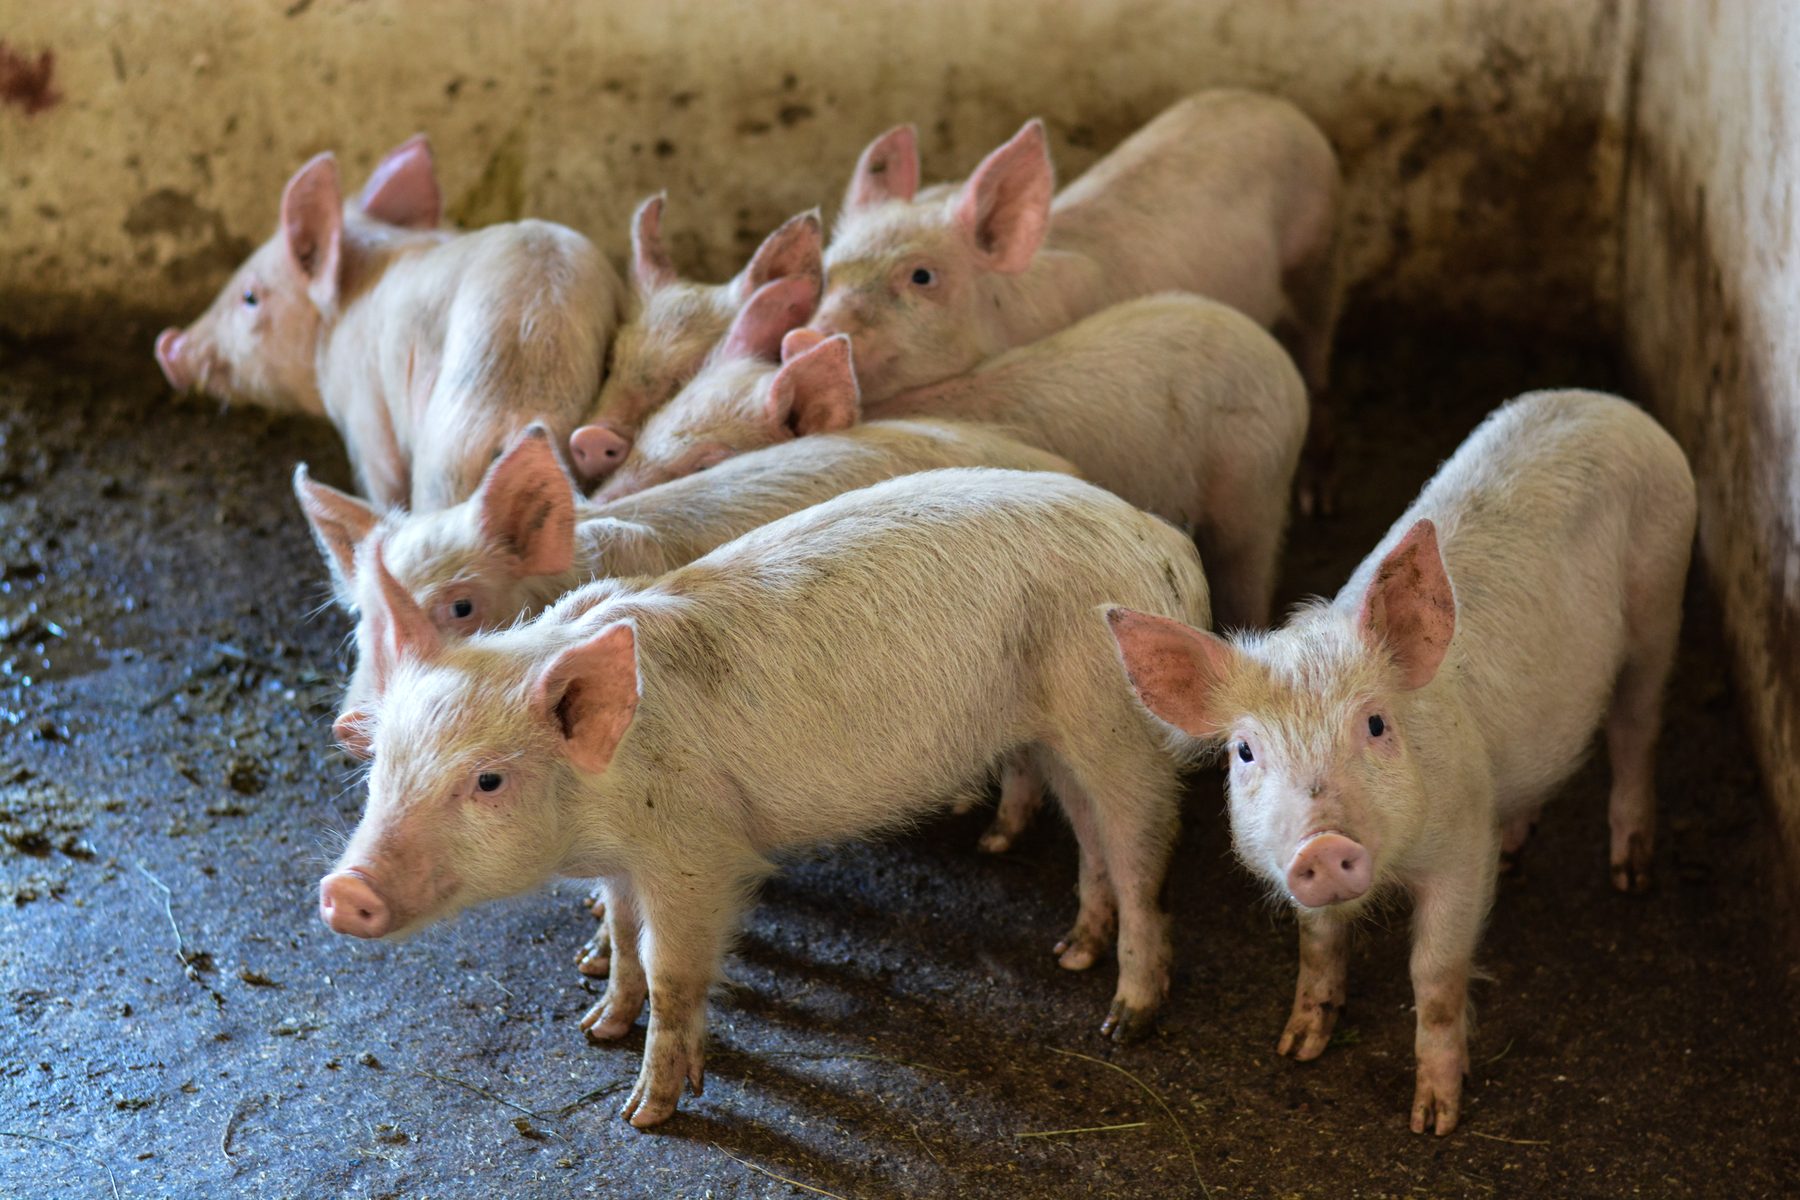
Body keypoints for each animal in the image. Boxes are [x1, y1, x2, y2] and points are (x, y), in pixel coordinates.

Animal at [319, 468, 1211, 1127]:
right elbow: (625, 934)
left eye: (488, 780)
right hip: (1061, 734)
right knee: (1091, 833)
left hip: (1120, 724)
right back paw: (1072, 951)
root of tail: (1162, 540)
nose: (342, 890)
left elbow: (672, 970)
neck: (612, 801)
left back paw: (1123, 1020)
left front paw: (645, 1114)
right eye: (384, 766)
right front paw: (597, 1027)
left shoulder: (696, 852)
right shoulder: (626, 859)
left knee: (1144, 859)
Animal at [814, 91, 1340, 507]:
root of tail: (1268, 100)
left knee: (1318, 344)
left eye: (922, 276)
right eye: (826, 273)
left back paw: (1314, 497)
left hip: (1317, 248)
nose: (813, 333)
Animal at [1107, 389, 1696, 1135]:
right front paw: (1297, 1047)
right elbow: (1318, 944)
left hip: (1660, 606)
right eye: (1245, 751)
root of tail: (1608, 403)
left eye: (1376, 724)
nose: (1323, 844)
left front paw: (1434, 1120)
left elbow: (1436, 976)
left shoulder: (1460, 850)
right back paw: (1517, 847)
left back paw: (1631, 873)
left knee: (1635, 732)